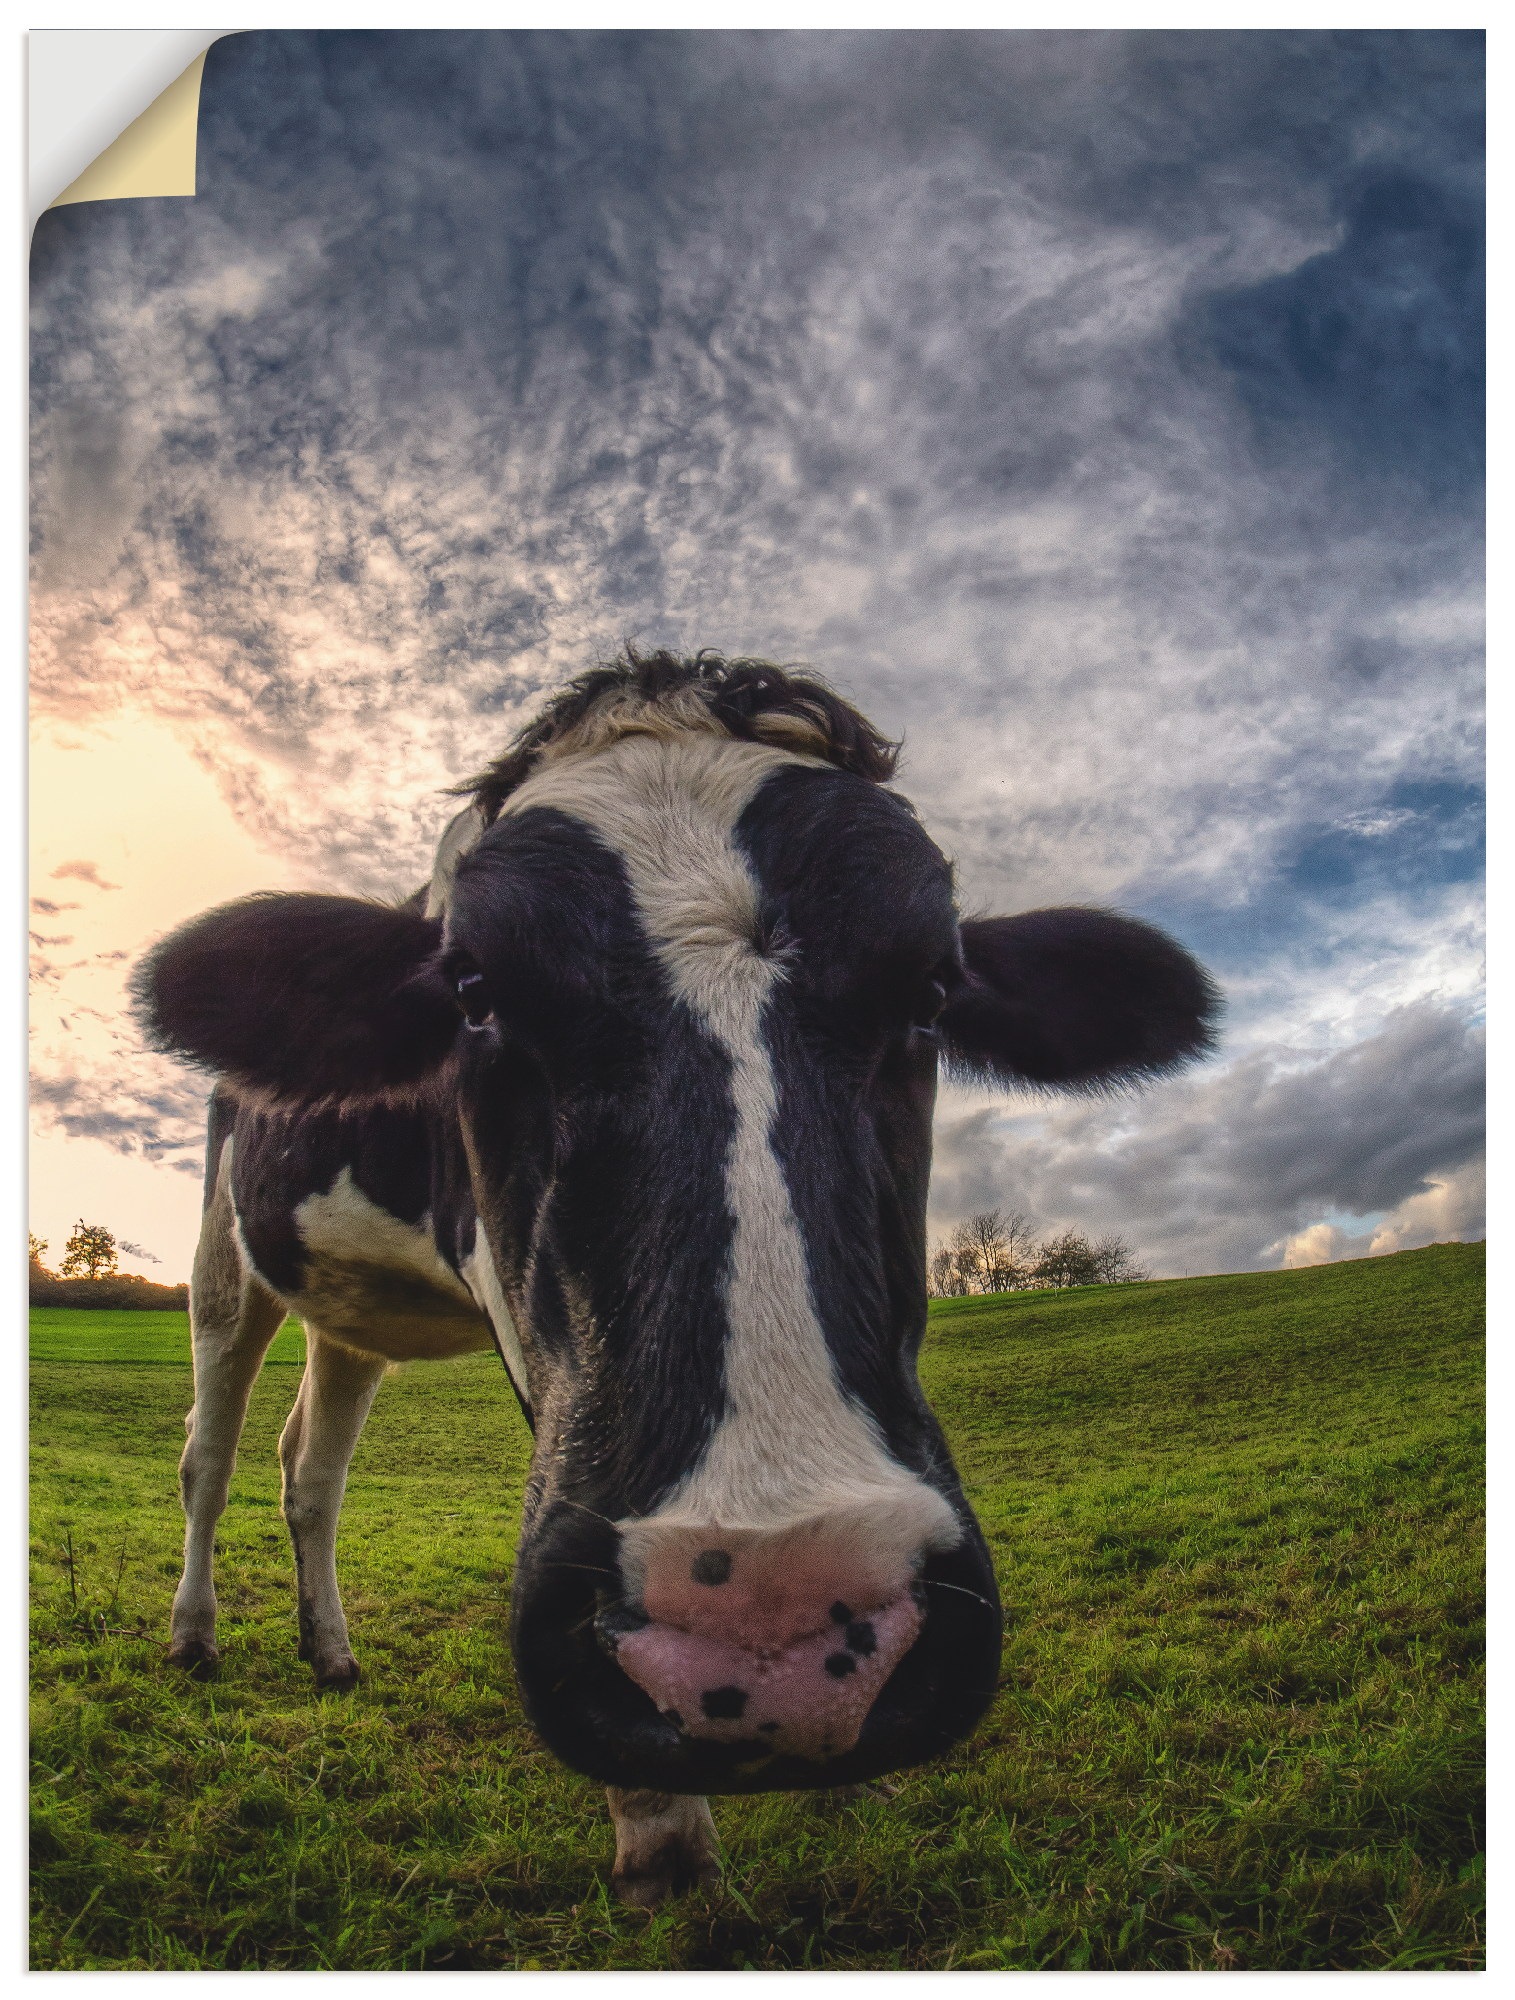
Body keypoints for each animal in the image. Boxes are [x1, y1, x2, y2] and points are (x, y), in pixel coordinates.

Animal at [135, 649, 1218, 1907]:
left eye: (934, 991)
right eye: (473, 990)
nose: (769, 1625)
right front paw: (659, 1832)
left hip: (350, 1307)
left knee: (310, 1467)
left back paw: (331, 1650)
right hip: (223, 1262)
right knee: (208, 1452)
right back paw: (194, 1633)